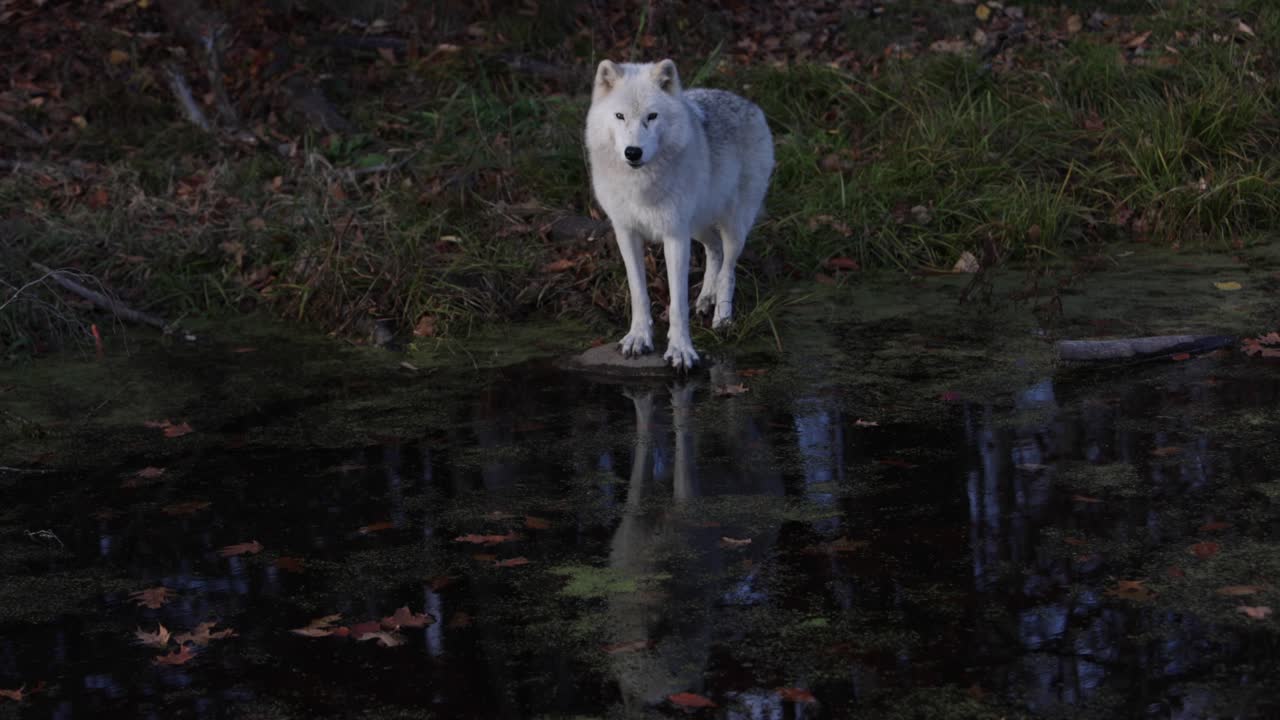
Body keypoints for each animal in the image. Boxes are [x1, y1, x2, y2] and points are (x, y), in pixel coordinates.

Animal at [585, 59, 774, 370]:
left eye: (652, 116)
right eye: (620, 116)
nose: (633, 152)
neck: (641, 185)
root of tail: (749, 103)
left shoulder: (674, 236)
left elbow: (677, 304)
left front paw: (681, 350)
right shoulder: (627, 233)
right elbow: (638, 293)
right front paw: (638, 338)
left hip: (732, 225)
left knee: (728, 270)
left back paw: (722, 318)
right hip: (696, 226)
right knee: (714, 250)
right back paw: (706, 298)